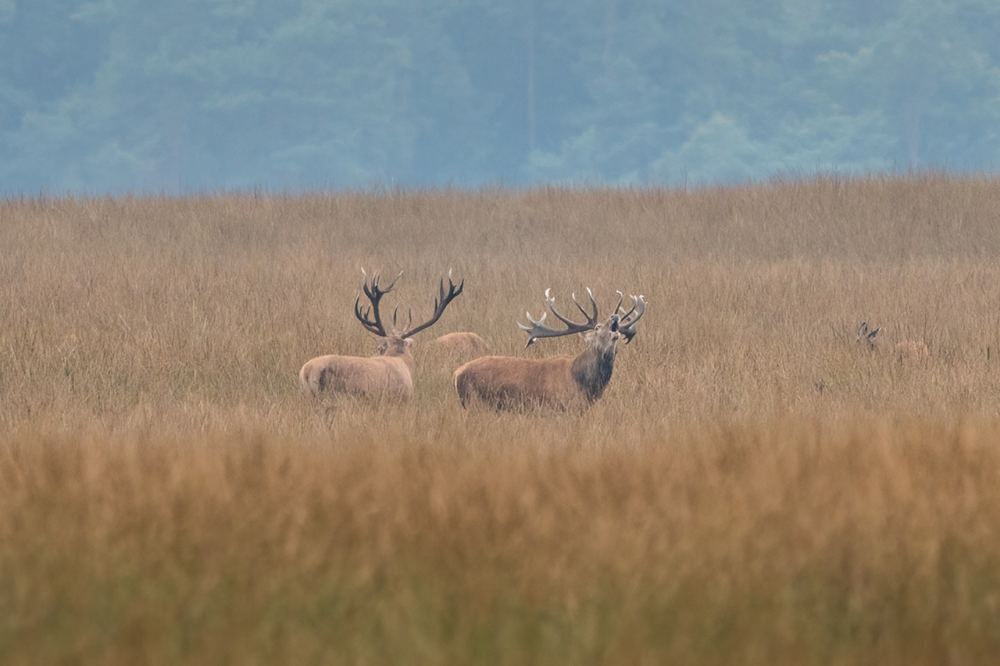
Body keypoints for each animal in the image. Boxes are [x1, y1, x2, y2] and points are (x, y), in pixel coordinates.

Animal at [453, 288, 645, 410]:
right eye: (597, 328)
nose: (615, 317)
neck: (584, 384)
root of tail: (456, 374)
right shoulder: (559, 408)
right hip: (474, 403)